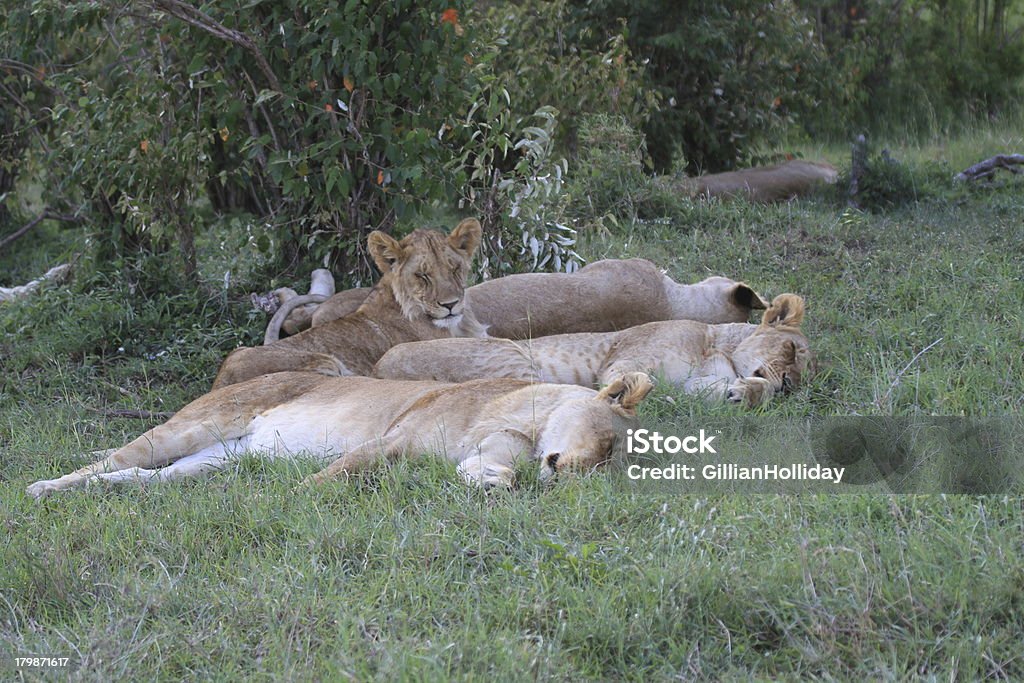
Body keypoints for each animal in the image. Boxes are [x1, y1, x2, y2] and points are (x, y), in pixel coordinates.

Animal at [372, 292, 811, 409]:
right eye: (792, 349)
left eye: (809, 374)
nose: (792, 384)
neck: (716, 347)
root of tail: (379, 369)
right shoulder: (625, 359)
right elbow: (640, 381)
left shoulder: (696, 381)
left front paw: (744, 393)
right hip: (516, 357)